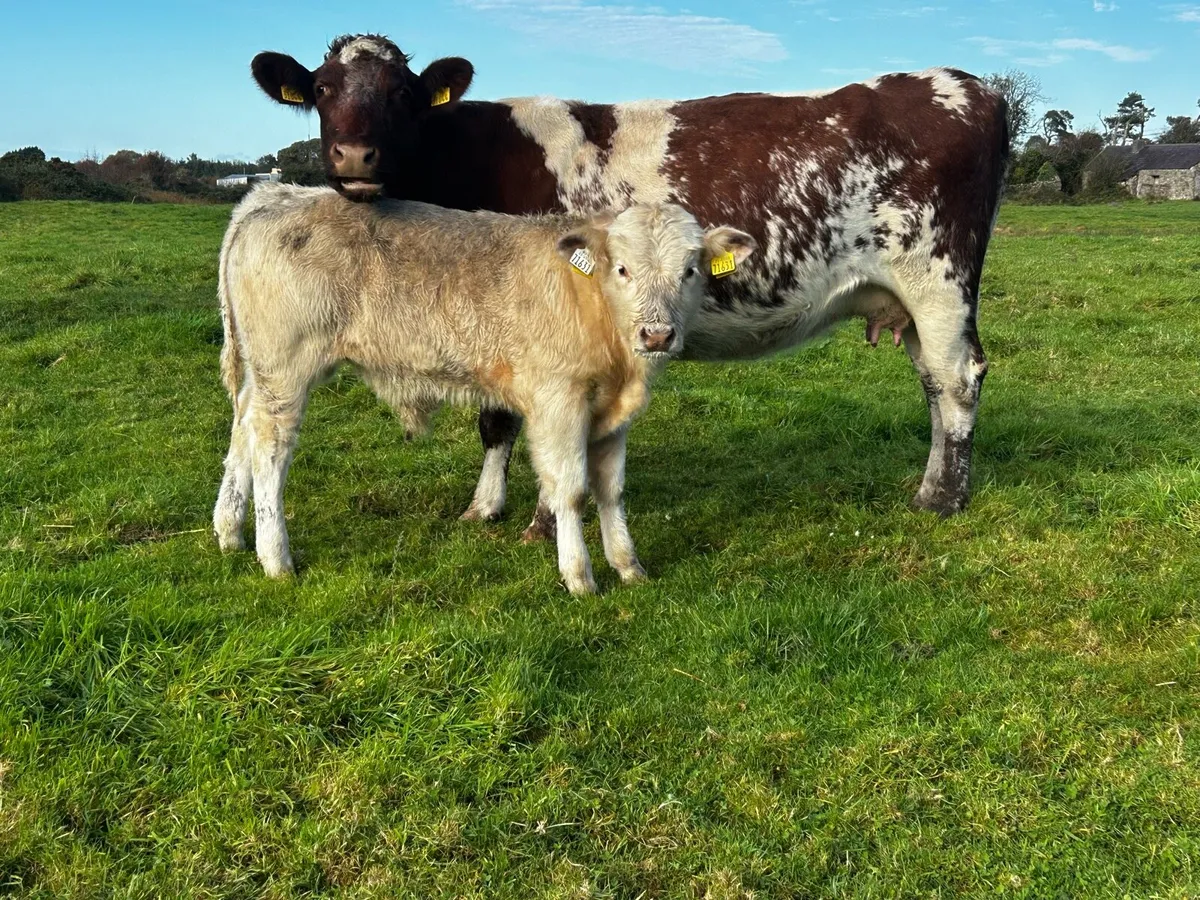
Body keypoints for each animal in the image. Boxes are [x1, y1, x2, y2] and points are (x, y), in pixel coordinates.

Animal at [212, 182, 756, 594]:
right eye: (622, 268)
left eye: (690, 271)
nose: (657, 334)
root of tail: (275, 194)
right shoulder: (558, 403)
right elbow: (571, 490)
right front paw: (580, 577)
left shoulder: (610, 414)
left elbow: (610, 489)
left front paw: (628, 565)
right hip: (286, 369)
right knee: (270, 449)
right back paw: (275, 556)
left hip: (262, 374)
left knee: (242, 431)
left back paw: (229, 532)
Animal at [250, 34, 1009, 539]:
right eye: (321, 89)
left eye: (403, 94)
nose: (354, 157)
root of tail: (966, 85)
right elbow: (496, 419)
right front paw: (486, 507)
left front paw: (541, 521)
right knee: (934, 379)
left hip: (939, 278)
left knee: (957, 378)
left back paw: (941, 498)